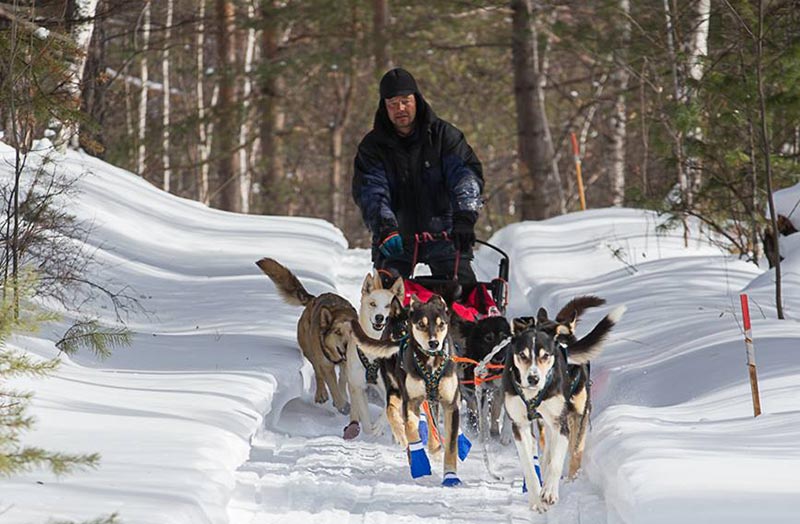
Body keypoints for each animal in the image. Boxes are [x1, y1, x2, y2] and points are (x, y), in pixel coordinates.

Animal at [256, 258, 356, 414]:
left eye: (351, 332)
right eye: (337, 332)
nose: (346, 346)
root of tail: (313, 300)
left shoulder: (348, 362)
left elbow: (343, 379)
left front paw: (343, 396)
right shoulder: (326, 365)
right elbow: (332, 384)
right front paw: (341, 404)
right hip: (311, 351)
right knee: (318, 372)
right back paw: (321, 394)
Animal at [342, 270, 406, 438]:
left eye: (389, 305)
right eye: (372, 304)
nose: (379, 317)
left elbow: (387, 411)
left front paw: (379, 426)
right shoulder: (358, 386)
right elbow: (364, 415)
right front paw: (369, 431)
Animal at [348, 294, 462, 488]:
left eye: (441, 324)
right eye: (421, 324)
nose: (434, 343)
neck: (430, 362)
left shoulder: (450, 404)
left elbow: (450, 444)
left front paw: (450, 476)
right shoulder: (409, 400)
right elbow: (408, 429)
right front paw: (417, 460)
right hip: (398, 391)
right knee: (395, 413)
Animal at [506, 302, 624, 512]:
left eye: (546, 355)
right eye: (522, 355)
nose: (533, 378)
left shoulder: (567, 421)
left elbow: (564, 457)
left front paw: (553, 490)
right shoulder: (519, 425)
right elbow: (529, 464)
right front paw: (537, 497)